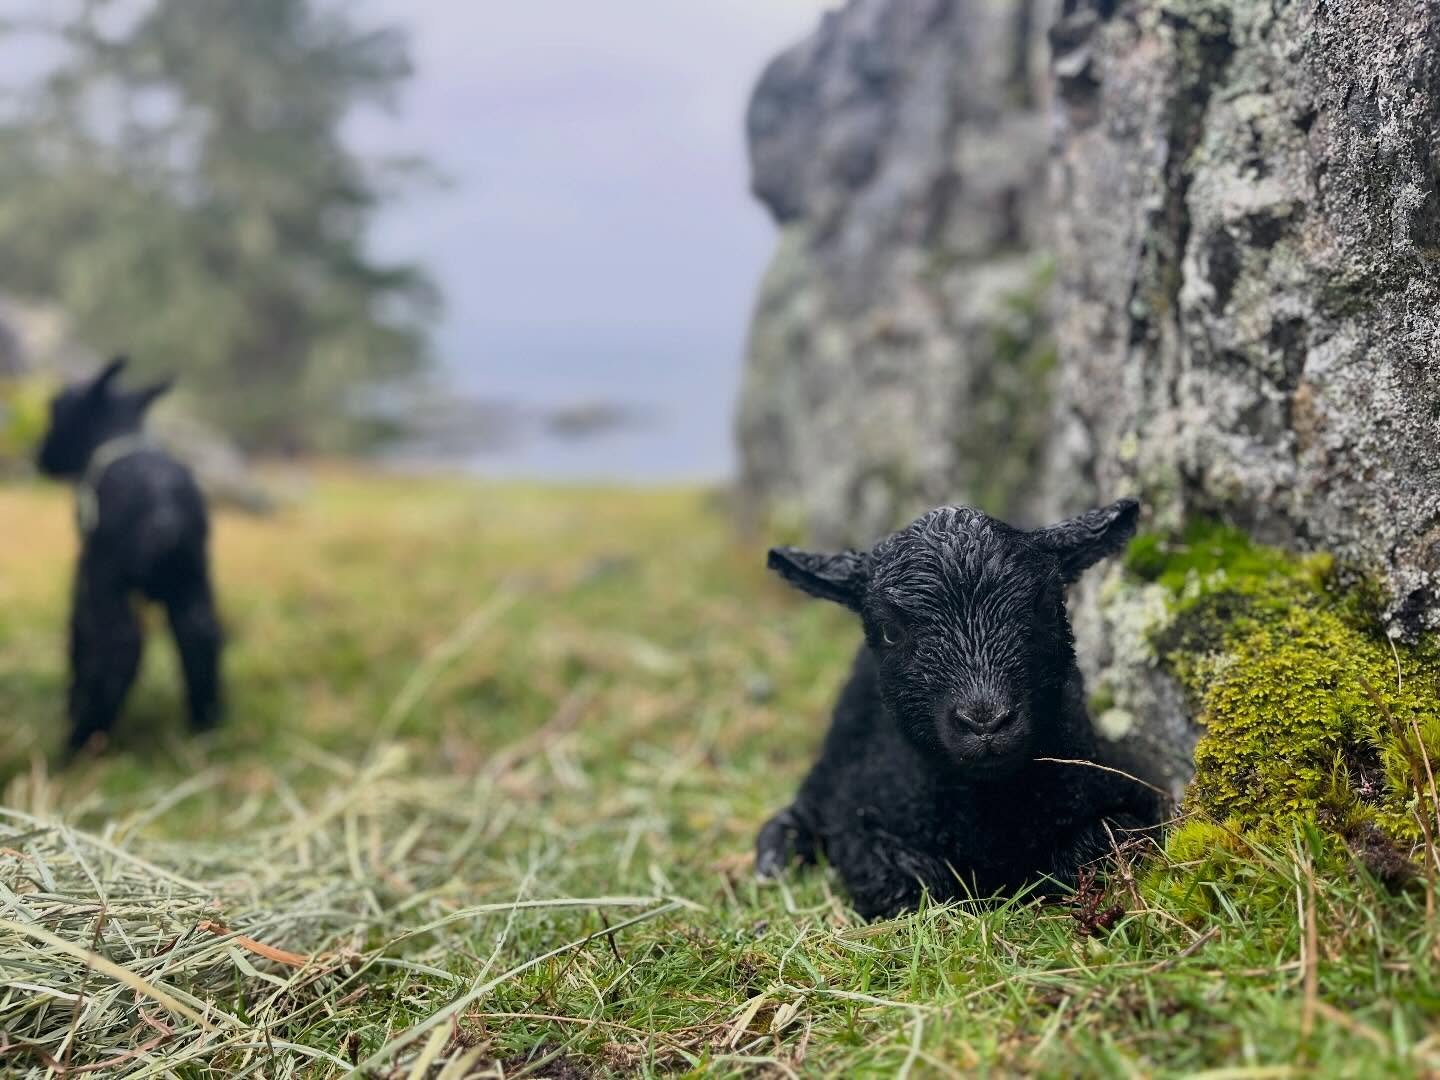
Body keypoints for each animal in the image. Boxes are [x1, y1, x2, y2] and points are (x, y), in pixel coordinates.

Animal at [35, 357, 223, 755]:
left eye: (56, 409)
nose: (40, 458)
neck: (118, 434)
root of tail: (164, 506)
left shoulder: (89, 567)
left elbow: (80, 629)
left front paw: (72, 701)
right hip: (193, 578)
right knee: (200, 634)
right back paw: (207, 725)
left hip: (110, 580)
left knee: (120, 647)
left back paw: (81, 740)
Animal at [755, 499, 1161, 919]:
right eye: (890, 632)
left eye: (1044, 607)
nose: (986, 723)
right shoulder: (861, 822)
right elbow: (906, 882)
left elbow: (1095, 847)